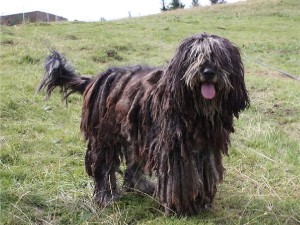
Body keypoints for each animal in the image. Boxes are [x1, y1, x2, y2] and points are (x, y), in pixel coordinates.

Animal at [37, 32, 248, 215]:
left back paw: (141, 186)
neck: (196, 110)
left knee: (133, 163)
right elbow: (179, 179)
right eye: (195, 56)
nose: (208, 72)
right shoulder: (174, 149)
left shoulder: (205, 147)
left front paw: (201, 202)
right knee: (103, 165)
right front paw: (182, 208)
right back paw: (106, 195)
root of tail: (94, 79)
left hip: (136, 133)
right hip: (105, 135)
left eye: (219, 56)